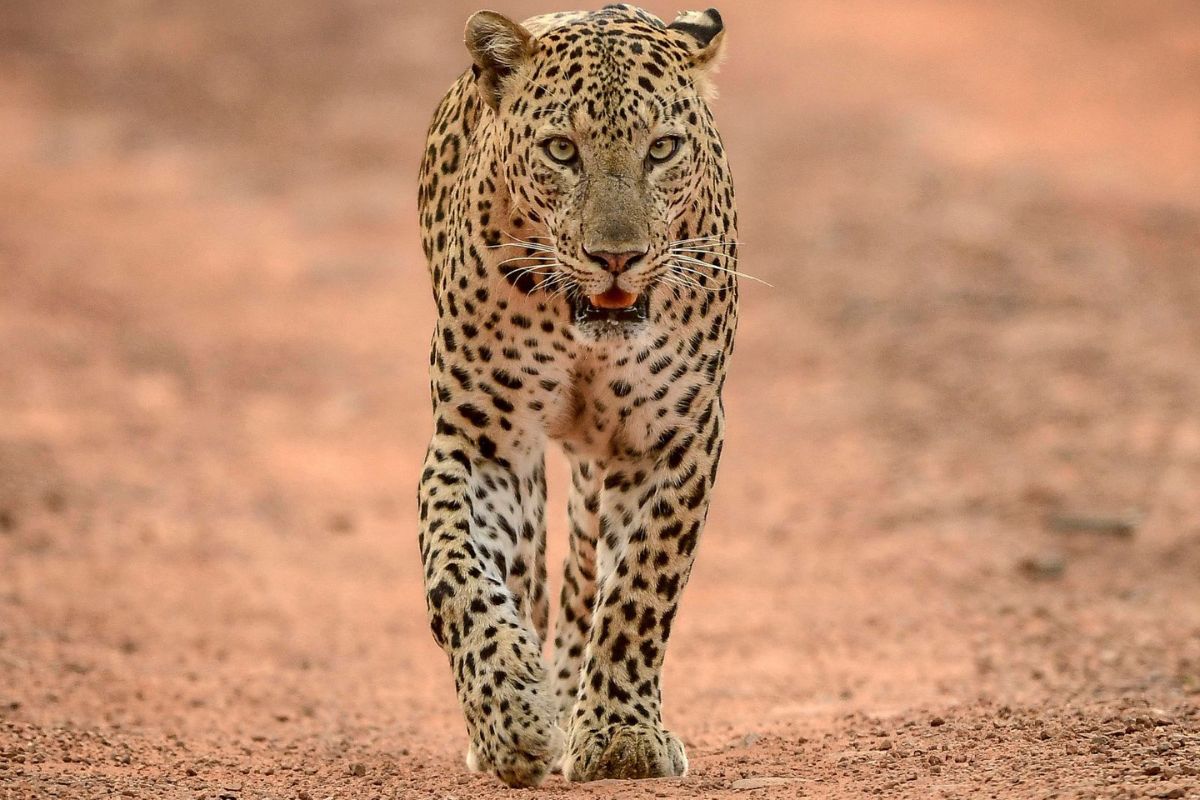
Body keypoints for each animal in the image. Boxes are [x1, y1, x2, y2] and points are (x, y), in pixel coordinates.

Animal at [416, 3, 738, 787]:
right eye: (562, 150)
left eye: (662, 148)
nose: (616, 257)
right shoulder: (484, 441)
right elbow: (458, 575)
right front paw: (512, 716)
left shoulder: (674, 438)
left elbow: (640, 587)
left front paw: (621, 735)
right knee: (529, 573)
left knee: (588, 572)